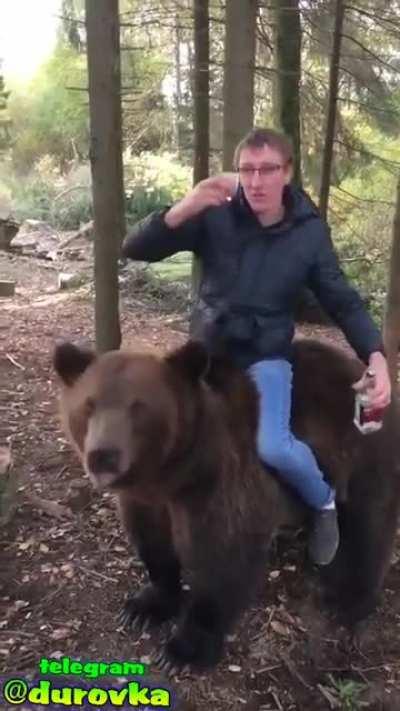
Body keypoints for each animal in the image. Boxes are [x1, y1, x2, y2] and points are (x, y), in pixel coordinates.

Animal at [53, 337, 400, 671]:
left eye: (138, 407)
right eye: (89, 404)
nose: (103, 455)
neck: (174, 473)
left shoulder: (219, 482)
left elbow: (224, 557)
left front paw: (183, 651)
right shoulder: (147, 499)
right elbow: (153, 543)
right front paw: (144, 607)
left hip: (363, 455)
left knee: (370, 525)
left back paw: (347, 599)